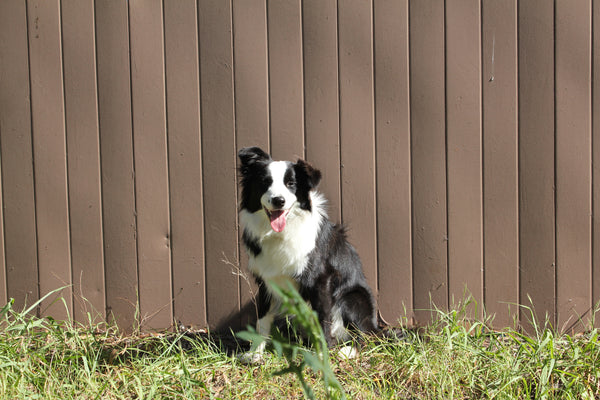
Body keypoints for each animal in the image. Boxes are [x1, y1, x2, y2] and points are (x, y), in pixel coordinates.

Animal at [237, 147, 378, 362]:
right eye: (264, 182)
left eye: (291, 184)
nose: (279, 201)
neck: (281, 233)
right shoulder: (266, 281)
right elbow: (262, 319)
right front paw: (255, 354)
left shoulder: (321, 279)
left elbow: (322, 319)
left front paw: (321, 356)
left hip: (351, 298)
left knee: (365, 335)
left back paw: (347, 350)